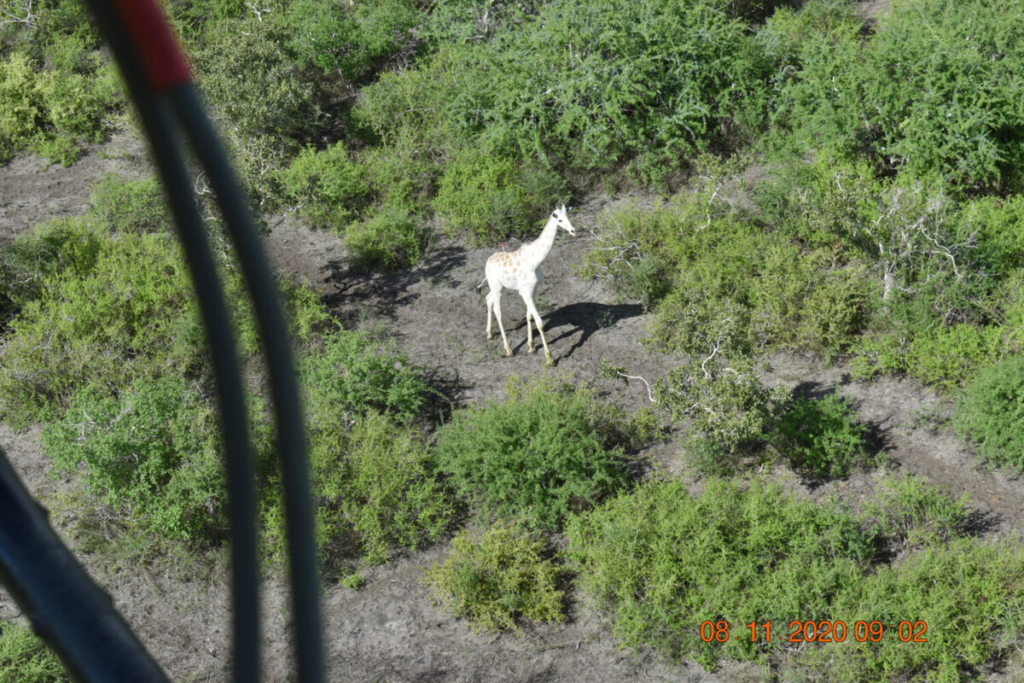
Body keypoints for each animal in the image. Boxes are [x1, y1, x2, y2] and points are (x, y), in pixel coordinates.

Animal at [473, 204, 573, 366]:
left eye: (569, 216)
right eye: (560, 220)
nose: (573, 231)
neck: (535, 261)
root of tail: (487, 262)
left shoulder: (532, 290)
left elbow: (529, 317)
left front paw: (531, 347)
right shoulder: (525, 292)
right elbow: (539, 322)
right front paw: (549, 358)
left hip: (497, 287)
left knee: (488, 300)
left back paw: (489, 334)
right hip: (497, 288)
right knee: (498, 311)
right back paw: (508, 349)